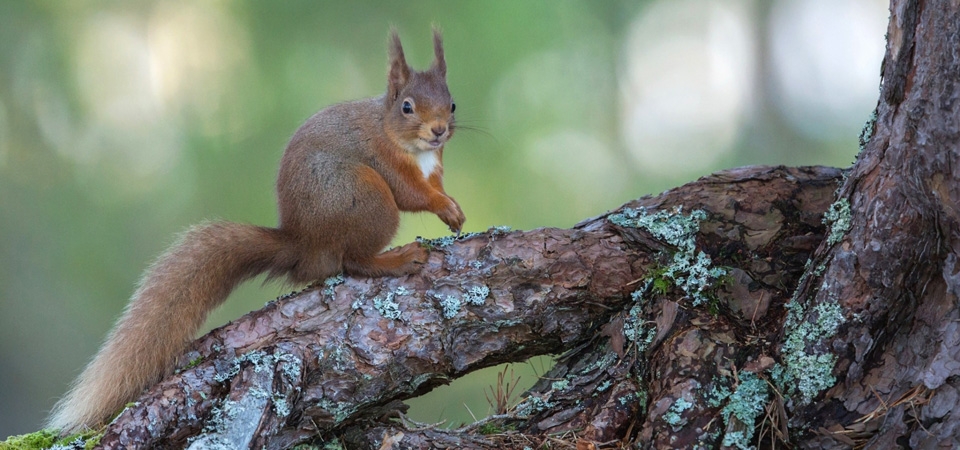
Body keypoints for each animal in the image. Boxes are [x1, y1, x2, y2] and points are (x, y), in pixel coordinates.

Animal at [48, 27, 464, 432]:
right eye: (407, 106)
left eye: (453, 104)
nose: (439, 131)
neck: (405, 141)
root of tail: (305, 245)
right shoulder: (384, 159)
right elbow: (412, 194)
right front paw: (442, 206)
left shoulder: (435, 166)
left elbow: (436, 187)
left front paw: (453, 209)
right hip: (368, 198)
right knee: (354, 261)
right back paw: (397, 259)